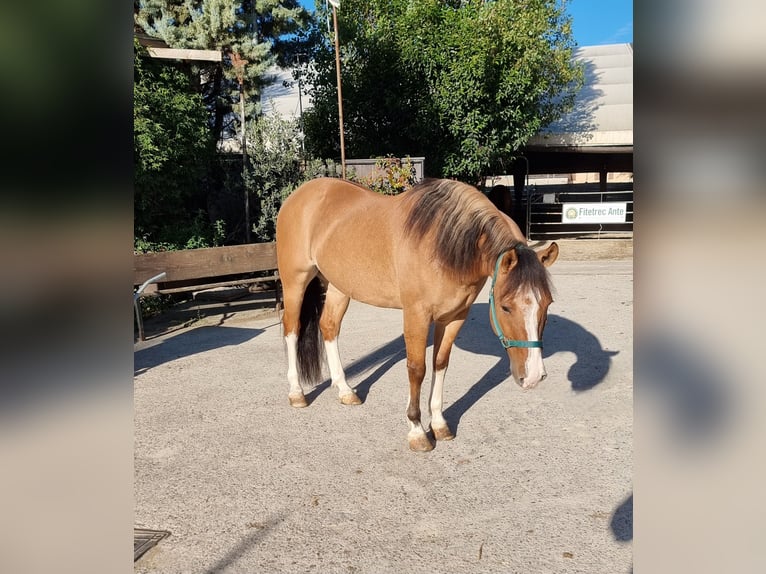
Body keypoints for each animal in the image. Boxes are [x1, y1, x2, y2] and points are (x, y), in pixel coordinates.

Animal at [275, 177, 559, 451]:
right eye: (505, 306)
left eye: (547, 303)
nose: (533, 376)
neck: (445, 244)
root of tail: (299, 195)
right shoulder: (416, 315)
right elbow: (417, 368)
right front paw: (417, 431)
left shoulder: (455, 316)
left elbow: (440, 363)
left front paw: (439, 424)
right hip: (295, 282)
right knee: (292, 329)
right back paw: (297, 393)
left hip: (339, 286)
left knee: (329, 327)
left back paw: (345, 390)